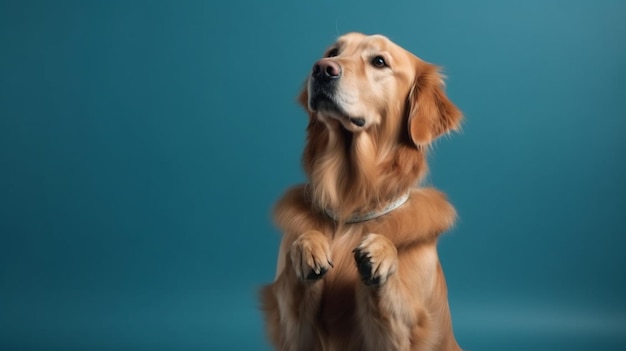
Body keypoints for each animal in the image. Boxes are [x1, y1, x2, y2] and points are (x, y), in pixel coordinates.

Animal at [260, 33, 464, 351]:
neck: (350, 206)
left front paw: (381, 251)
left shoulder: (409, 332)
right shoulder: (292, 332)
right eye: (333, 52)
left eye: (379, 61)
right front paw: (308, 245)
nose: (322, 69)